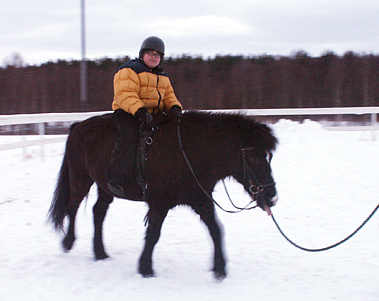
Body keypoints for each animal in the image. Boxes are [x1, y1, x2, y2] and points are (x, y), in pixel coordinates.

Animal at [47, 110, 280, 278]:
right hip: (80, 178)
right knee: (73, 206)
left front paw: (220, 268)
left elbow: (216, 230)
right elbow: (153, 234)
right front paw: (145, 268)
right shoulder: (159, 203)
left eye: (269, 156)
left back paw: (100, 252)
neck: (189, 152)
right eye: (255, 158)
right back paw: (68, 242)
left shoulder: (201, 200)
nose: (271, 196)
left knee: (98, 212)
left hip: (105, 186)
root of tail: (78, 126)